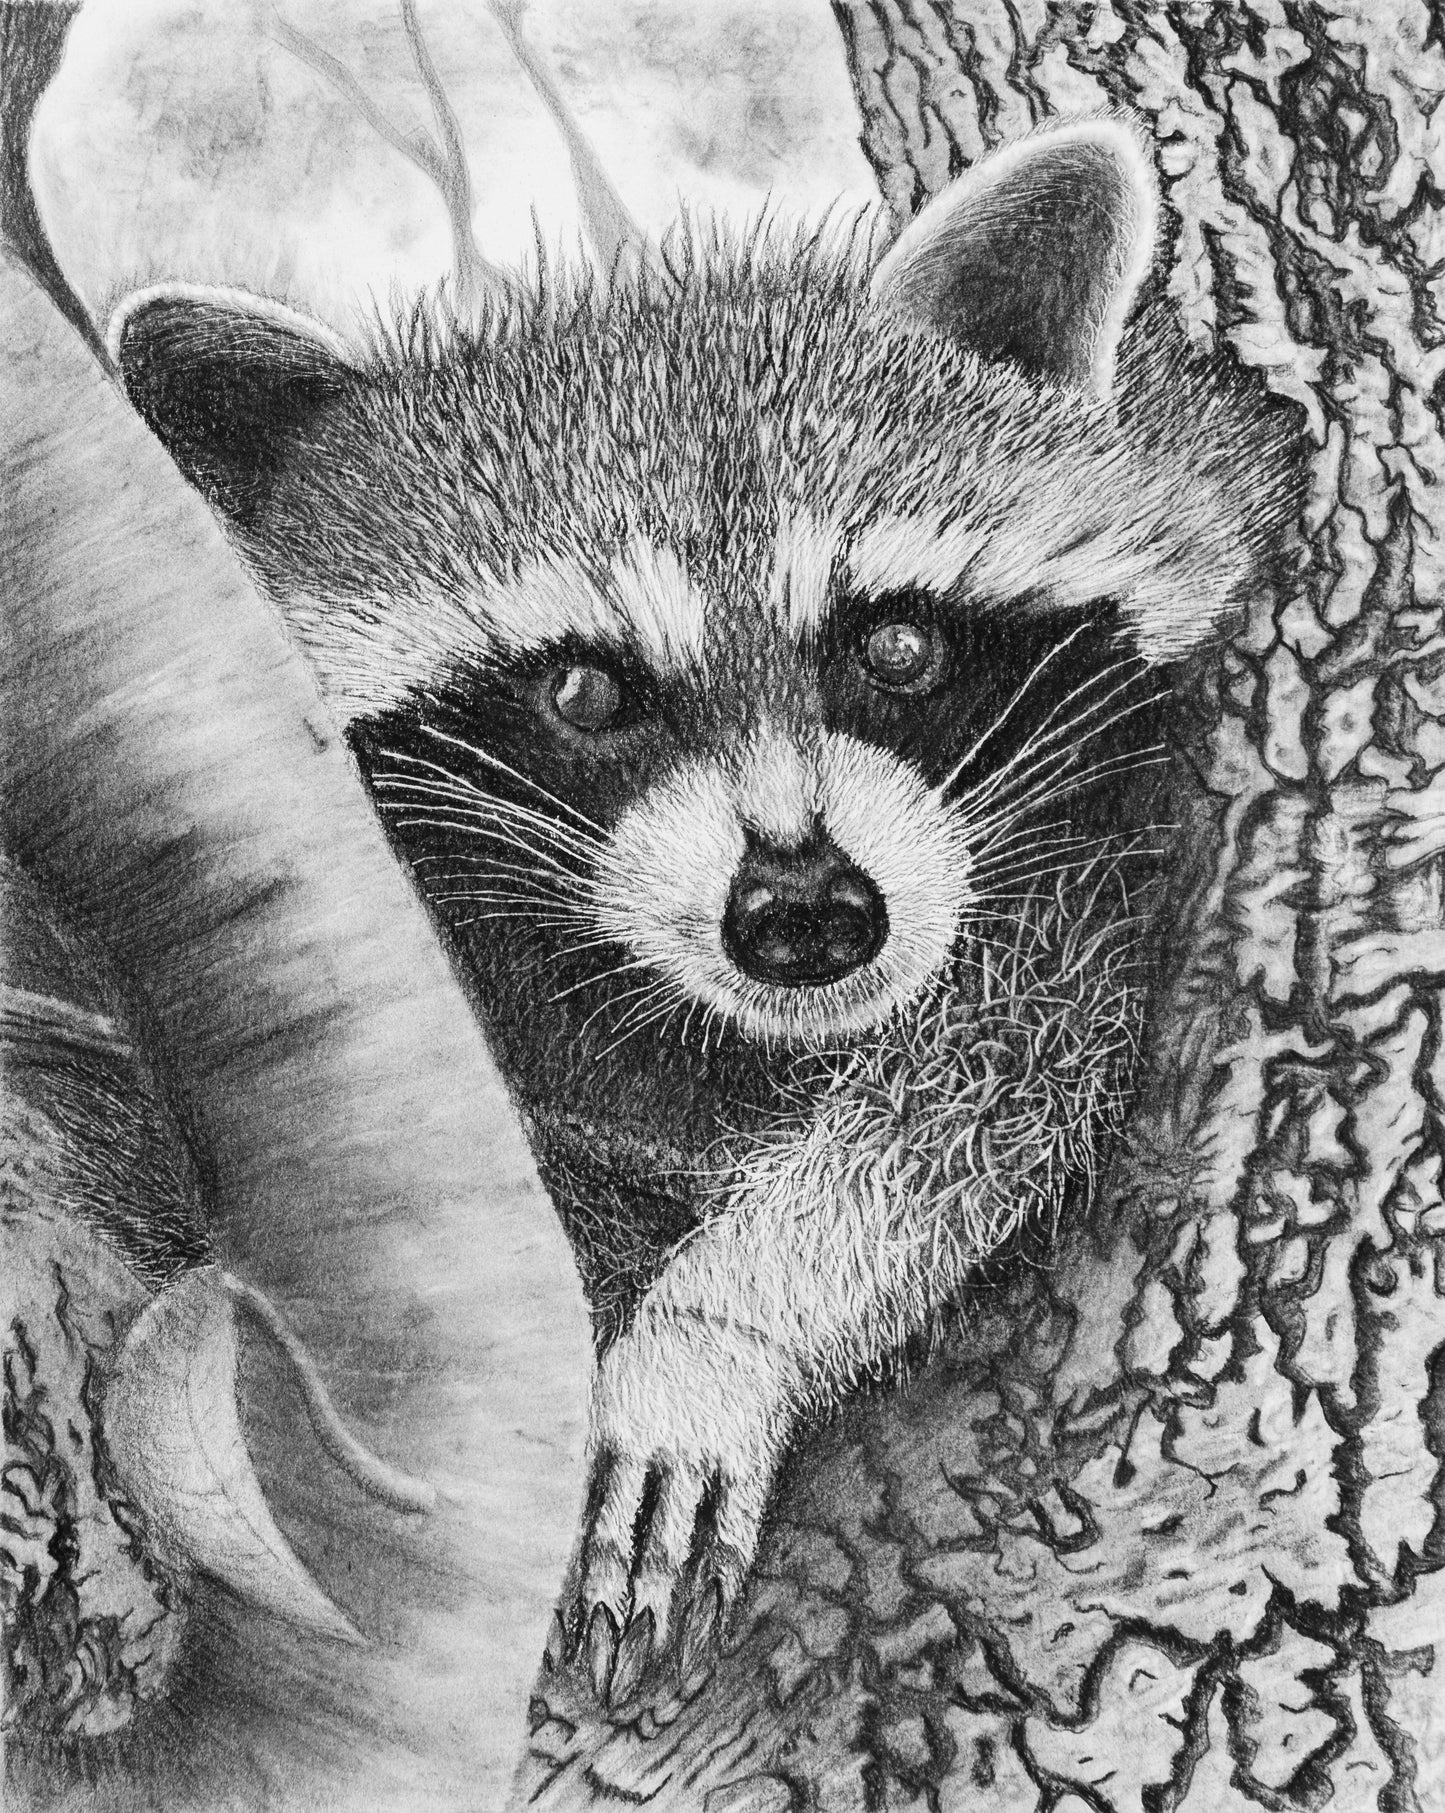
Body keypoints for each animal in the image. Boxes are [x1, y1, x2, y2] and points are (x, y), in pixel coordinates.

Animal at [109, 119, 1297, 1682]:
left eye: (896, 644)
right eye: (583, 689)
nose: (806, 913)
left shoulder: (1082, 873)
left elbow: (986, 1083)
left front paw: (717, 1336)